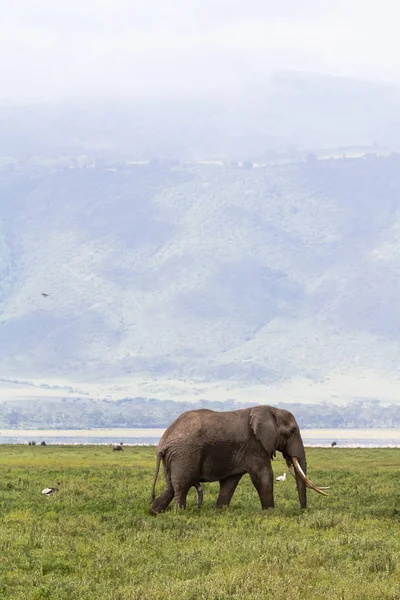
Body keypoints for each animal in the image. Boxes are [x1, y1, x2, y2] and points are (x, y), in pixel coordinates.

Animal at [150, 406, 328, 512]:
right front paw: (270, 512)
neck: (270, 409)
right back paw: (180, 513)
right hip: (184, 454)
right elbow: (263, 476)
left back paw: (154, 512)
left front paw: (220, 511)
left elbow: (230, 482)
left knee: (171, 487)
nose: (301, 510)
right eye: (292, 431)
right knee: (182, 486)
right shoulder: (255, 446)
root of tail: (163, 443)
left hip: (174, 458)